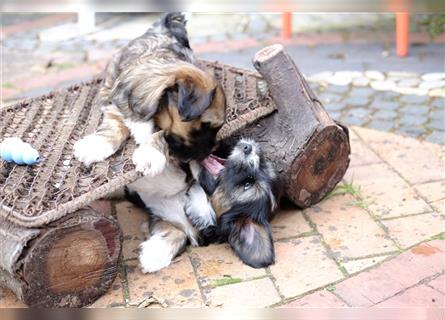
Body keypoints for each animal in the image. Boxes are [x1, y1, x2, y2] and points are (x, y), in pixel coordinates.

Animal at [74, 11, 225, 175]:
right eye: (205, 126)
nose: (210, 152)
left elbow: (159, 133)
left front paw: (150, 154)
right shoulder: (118, 105)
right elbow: (112, 125)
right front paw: (96, 145)